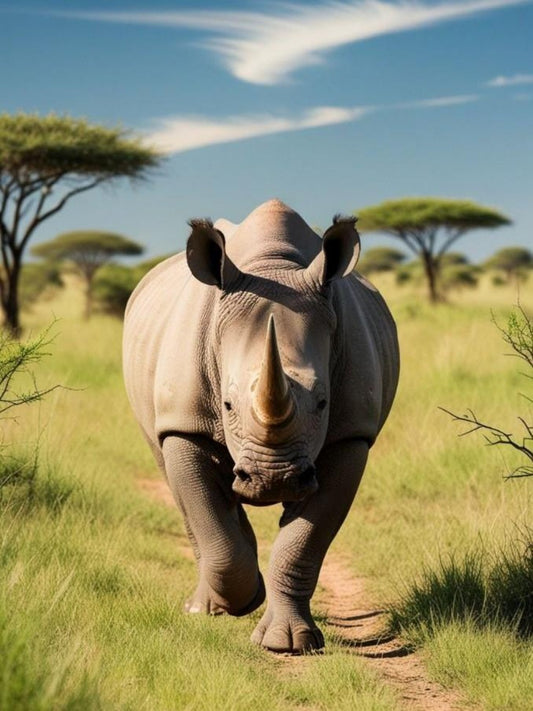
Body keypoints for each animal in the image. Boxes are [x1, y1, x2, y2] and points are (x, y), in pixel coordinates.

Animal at [123, 199, 399, 654]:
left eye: (323, 403)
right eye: (227, 404)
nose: (273, 480)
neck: (272, 267)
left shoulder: (351, 434)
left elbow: (304, 542)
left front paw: (288, 643)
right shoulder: (184, 423)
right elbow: (209, 519)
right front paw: (242, 599)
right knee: (174, 480)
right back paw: (205, 606)